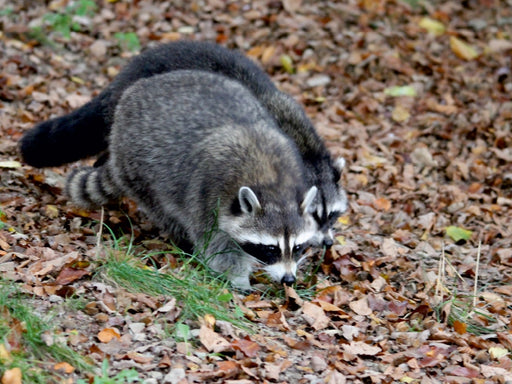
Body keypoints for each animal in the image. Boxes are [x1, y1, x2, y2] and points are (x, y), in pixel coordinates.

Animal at [65, 70, 318, 290]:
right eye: (271, 249)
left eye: (298, 247)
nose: (288, 279)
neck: (272, 183)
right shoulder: (209, 193)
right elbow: (216, 245)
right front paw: (237, 278)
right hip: (138, 164)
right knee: (163, 209)